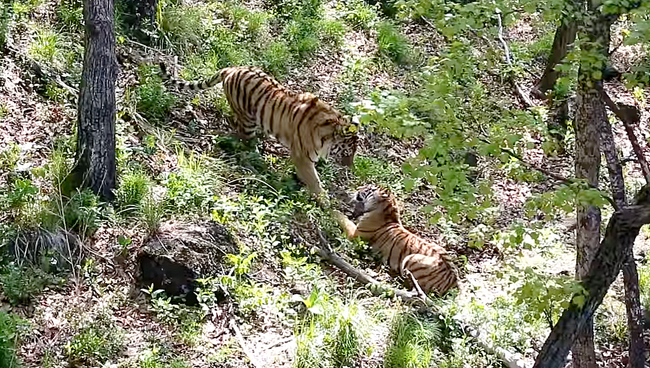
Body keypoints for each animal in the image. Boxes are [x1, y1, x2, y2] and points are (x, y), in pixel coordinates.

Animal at [159, 62, 356, 196]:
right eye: (349, 150)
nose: (351, 166)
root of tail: (230, 69)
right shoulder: (302, 158)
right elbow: (315, 181)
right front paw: (325, 202)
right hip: (248, 120)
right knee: (244, 141)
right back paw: (254, 160)